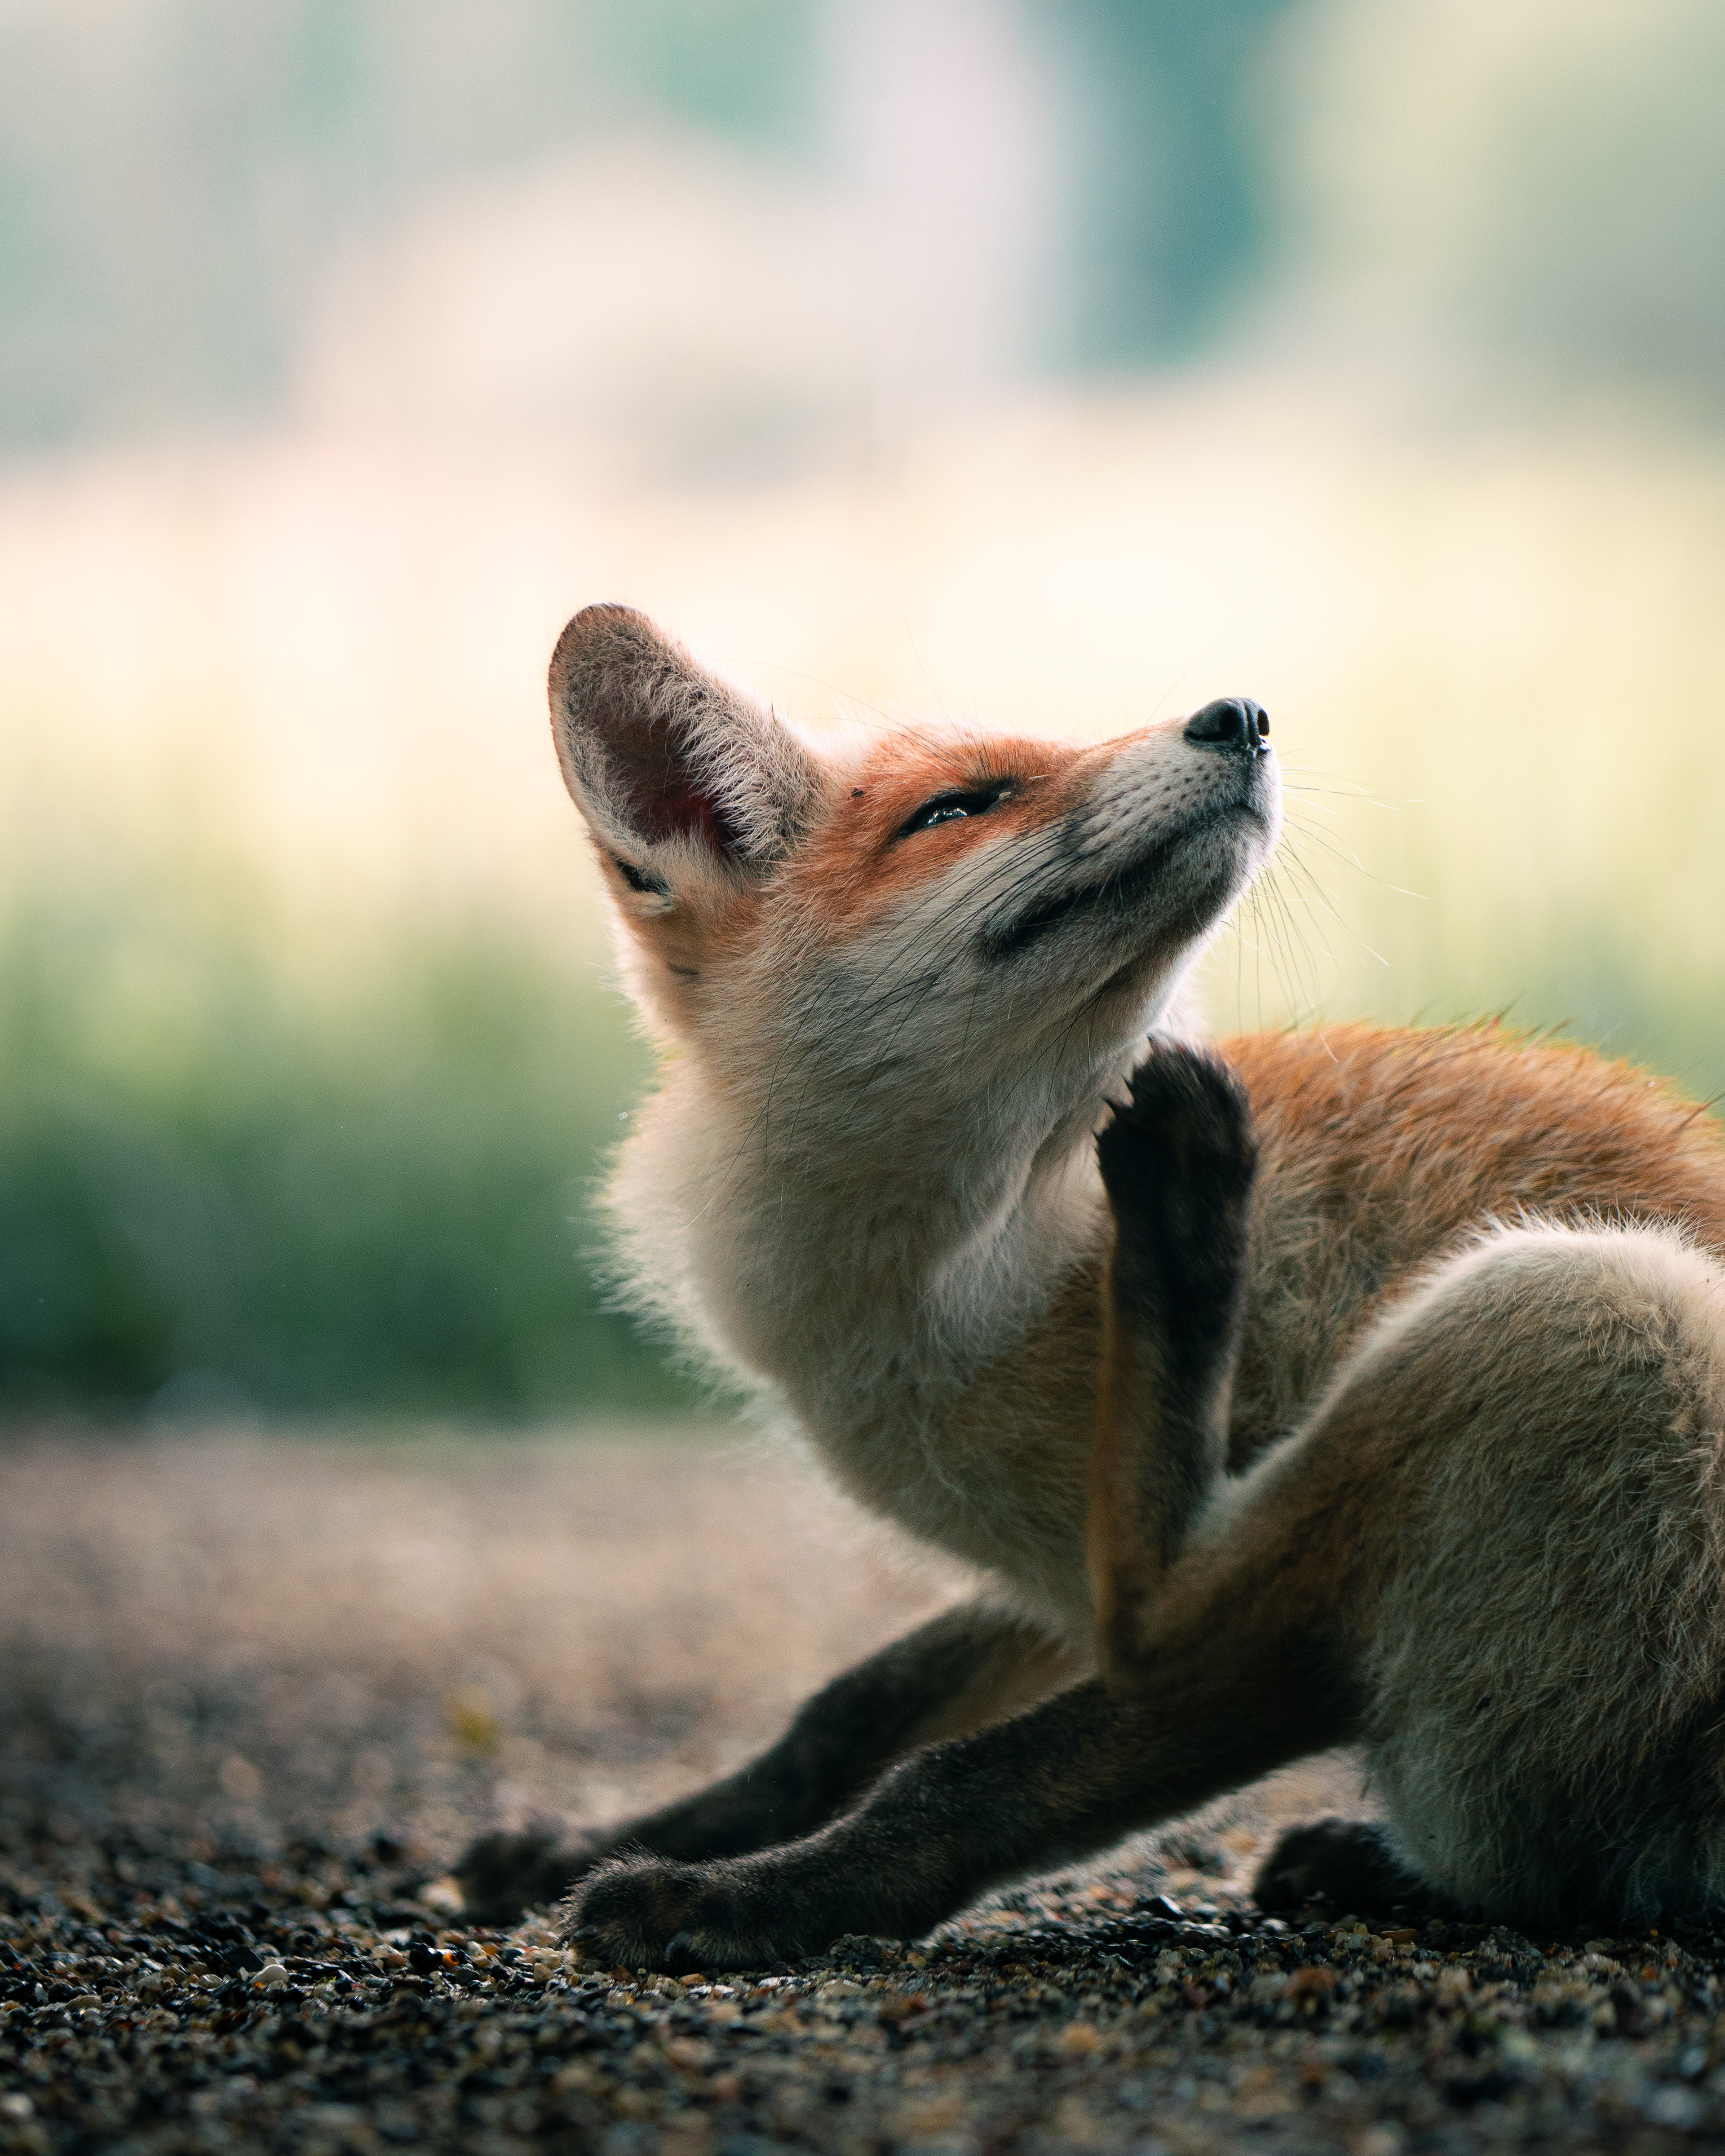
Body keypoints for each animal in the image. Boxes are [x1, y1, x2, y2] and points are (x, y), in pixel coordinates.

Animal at [458, 602, 1725, 1966]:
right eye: (958, 806)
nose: (1243, 714)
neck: (980, 1276)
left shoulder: (1231, 1635)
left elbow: (966, 1775)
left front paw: (746, 1899)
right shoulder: (1038, 1576)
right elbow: (845, 1713)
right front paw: (610, 1840)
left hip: (1573, 1302)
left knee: (1162, 1627)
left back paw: (1186, 1212)